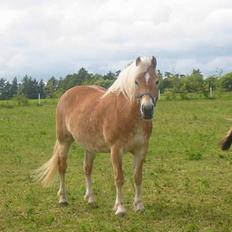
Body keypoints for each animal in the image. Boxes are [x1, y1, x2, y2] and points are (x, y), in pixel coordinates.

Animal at [35, 56, 160, 216]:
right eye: (136, 82)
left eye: (157, 81)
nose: (147, 110)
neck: (128, 114)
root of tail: (66, 94)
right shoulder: (116, 150)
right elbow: (119, 178)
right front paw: (120, 208)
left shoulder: (141, 150)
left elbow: (137, 178)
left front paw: (139, 206)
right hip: (64, 141)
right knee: (62, 167)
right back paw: (63, 199)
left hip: (89, 147)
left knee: (87, 169)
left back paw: (90, 199)